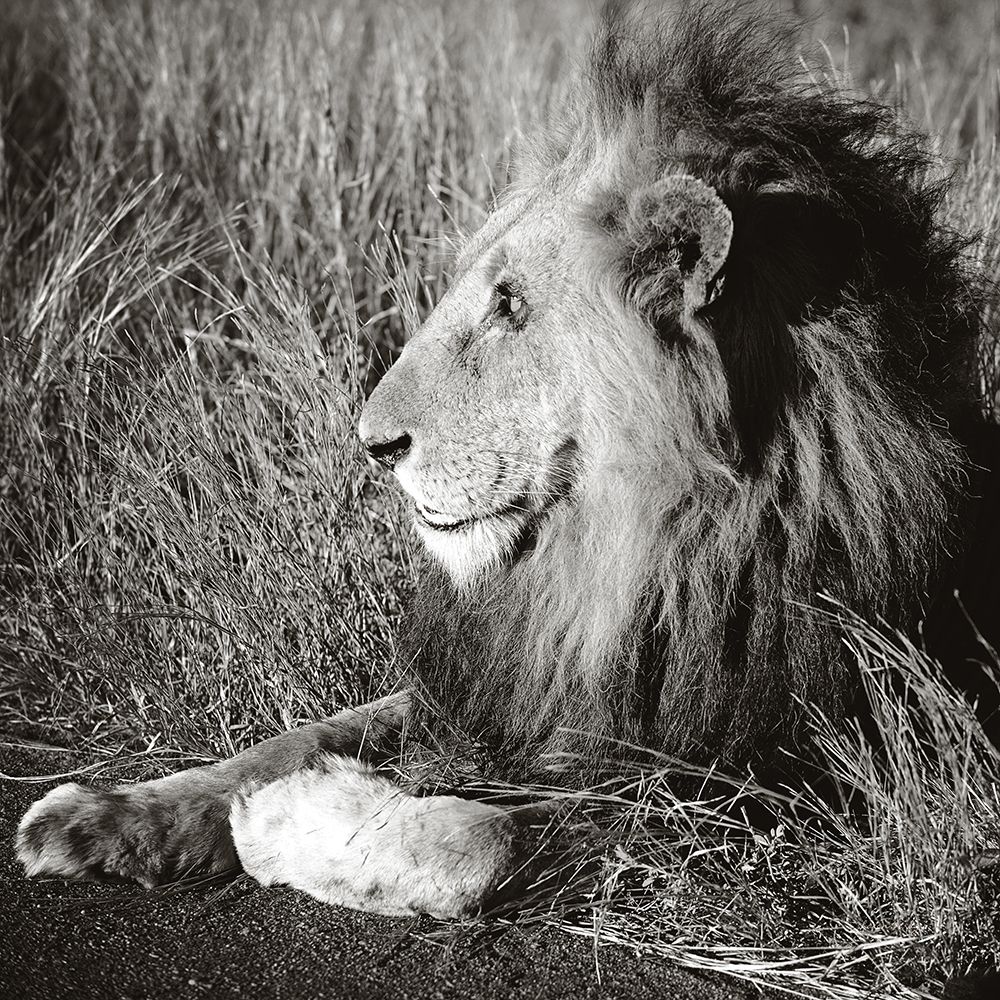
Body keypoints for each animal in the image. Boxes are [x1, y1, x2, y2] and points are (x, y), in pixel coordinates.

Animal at [16, 2, 999, 919]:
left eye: (511, 304)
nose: (373, 445)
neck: (636, 555)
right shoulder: (499, 689)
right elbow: (299, 734)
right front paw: (109, 812)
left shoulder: (753, 789)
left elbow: (480, 835)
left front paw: (282, 817)